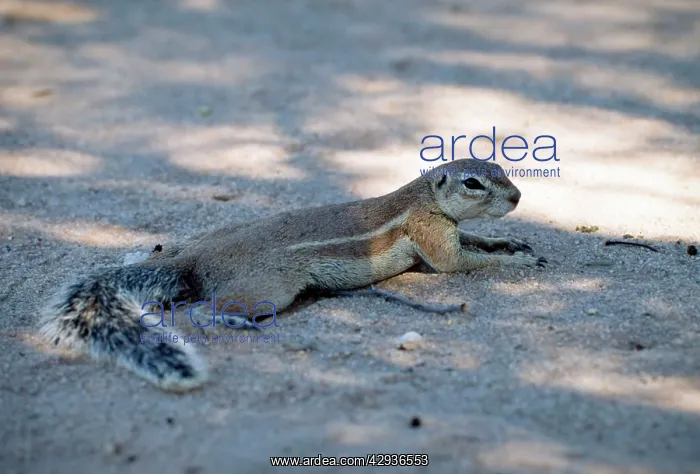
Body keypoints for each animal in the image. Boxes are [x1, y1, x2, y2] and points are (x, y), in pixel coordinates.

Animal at [38, 159, 546, 392]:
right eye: (473, 183)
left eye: (501, 167)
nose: (518, 197)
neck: (424, 197)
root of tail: (196, 260)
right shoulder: (432, 237)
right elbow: (459, 263)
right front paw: (516, 262)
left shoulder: (445, 233)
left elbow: (474, 243)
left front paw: (510, 243)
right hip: (273, 288)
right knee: (205, 310)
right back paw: (236, 320)